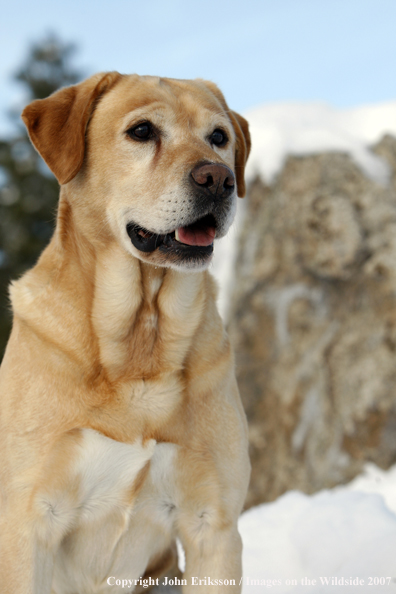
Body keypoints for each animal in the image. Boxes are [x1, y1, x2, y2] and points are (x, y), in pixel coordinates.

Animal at [0, 73, 251, 592]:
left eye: (219, 137)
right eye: (142, 131)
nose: (218, 178)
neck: (142, 338)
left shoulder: (213, 522)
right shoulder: (27, 521)